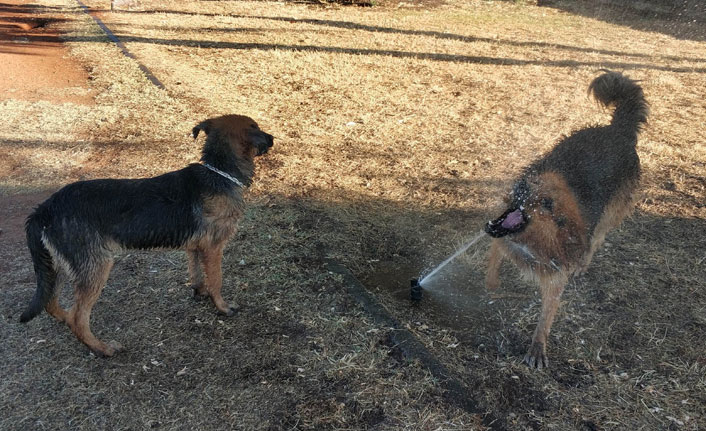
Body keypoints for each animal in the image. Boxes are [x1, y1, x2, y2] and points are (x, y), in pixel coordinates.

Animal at [19, 115, 272, 358]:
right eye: (256, 127)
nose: (272, 139)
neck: (219, 172)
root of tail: (44, 210)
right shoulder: (213, 248)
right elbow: (217, 280)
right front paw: (222, 307)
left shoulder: (195, 247)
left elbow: (197, 273)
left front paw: (200, 292)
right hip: (95, 267)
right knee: (78, 319)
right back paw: (103, 349)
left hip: (59, 266)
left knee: (52, 304)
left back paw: (65, 319)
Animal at [484, 71, 644, 372]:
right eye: (532, 180)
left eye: (547, 203)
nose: (522, 188)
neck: (533, 241)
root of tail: (618, 130)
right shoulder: (501, 241)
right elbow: (493, 263)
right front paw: (492, 284)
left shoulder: (556, 278)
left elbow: (545, 319)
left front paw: (537, 348)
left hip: (608, 217)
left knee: (596, 241)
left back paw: (583, 264)